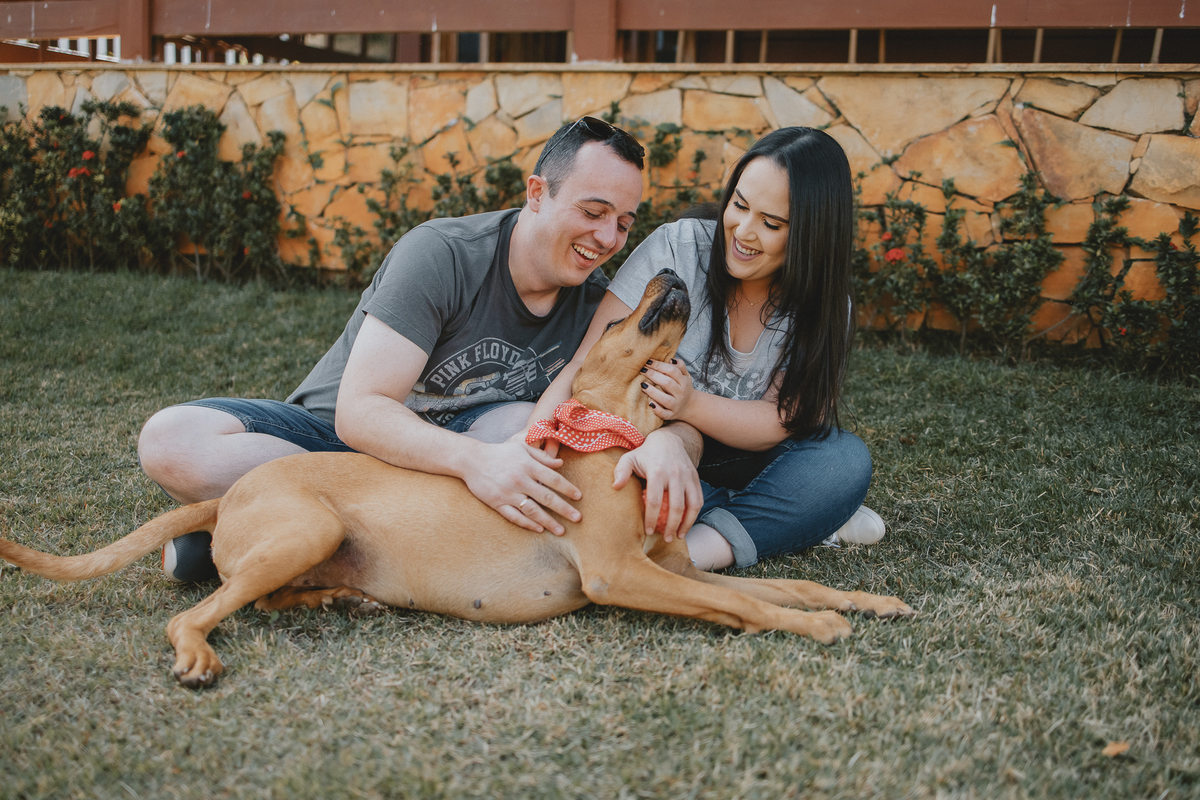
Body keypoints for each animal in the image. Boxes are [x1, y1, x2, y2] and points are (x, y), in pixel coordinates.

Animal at [0, 270, 913, 688]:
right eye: (617, 318)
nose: (669, 275)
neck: (615, 436)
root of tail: (232, 494)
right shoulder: (618, 574)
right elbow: (749, 603)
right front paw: (817, 628)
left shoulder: (673, 566)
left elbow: (786, 585)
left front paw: (867, 602)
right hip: (307, 526)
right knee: (196, 612)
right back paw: (198, 650)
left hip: (306, 545)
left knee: (261, 597)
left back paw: (342, 601)